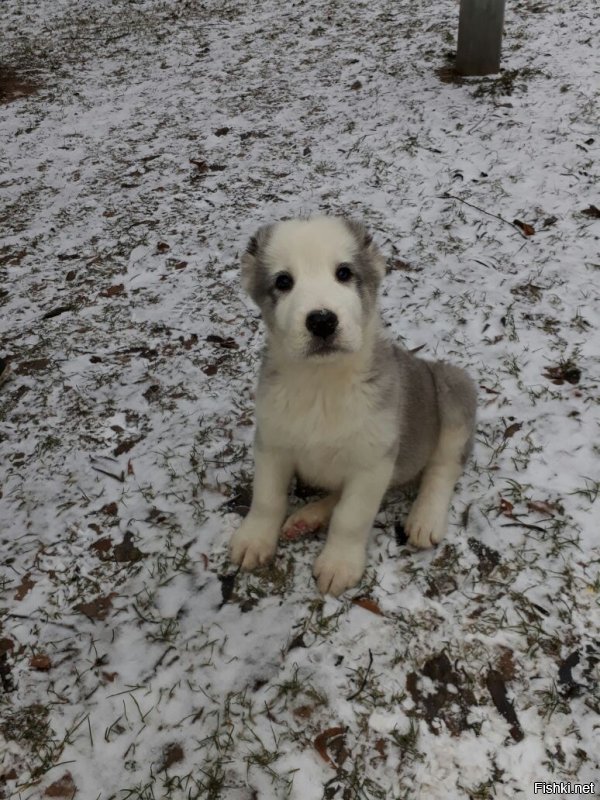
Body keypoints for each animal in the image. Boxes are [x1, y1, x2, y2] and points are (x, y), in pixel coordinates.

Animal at [227, 216, 476, 596]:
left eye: (344, 273)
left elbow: (351, 517)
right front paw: (255, 539)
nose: (321, 321)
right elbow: (267, 498)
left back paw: (424, 518)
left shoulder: (373, 462)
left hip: (453, 387)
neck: (323, 384)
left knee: (444, 466)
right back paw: (307, 517)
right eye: (283, 281)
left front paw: (339, 564)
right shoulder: (272, 443)